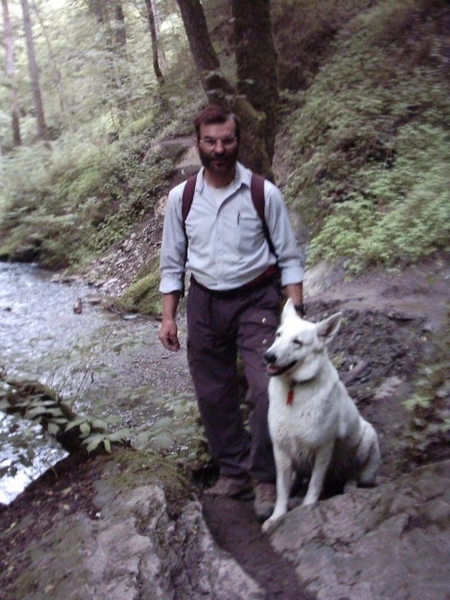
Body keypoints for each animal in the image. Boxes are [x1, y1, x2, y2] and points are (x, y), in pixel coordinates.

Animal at [262, 302, 382, 532]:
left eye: (297, 342)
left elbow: (315, 484)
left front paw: (307, 509)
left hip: (366, 438)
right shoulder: (280, 448)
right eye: (279, 335)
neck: (294, 389)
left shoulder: (323, 447)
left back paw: (350, 486)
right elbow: (282, 487)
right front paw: (277, 516)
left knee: (353, 472)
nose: (268, 356)